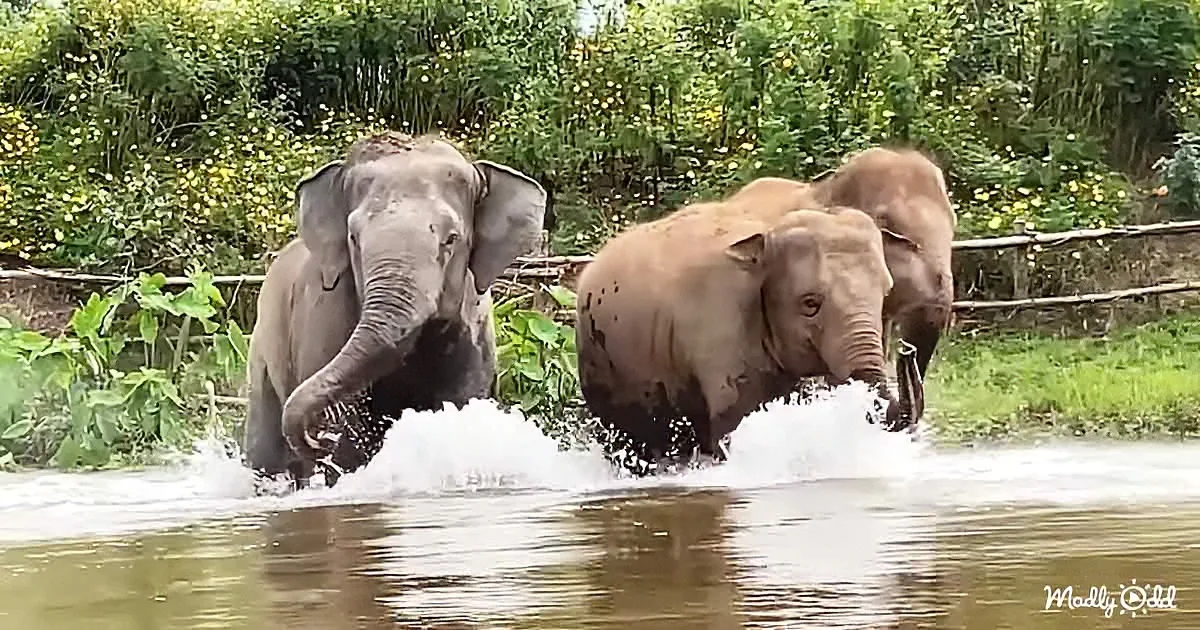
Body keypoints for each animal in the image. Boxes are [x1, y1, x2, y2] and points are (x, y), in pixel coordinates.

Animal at [242, 131, 547, 489]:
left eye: (451, 239)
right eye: (353, 238)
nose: (318, 439)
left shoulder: (476, 328)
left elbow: (462, 403)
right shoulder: (324, 318)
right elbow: (347, 434)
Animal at [574, 187, 921, 476]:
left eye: (886, 293)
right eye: (810, 303)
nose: (907, 350)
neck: (768, 232)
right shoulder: (720, 319)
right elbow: (734, 417)